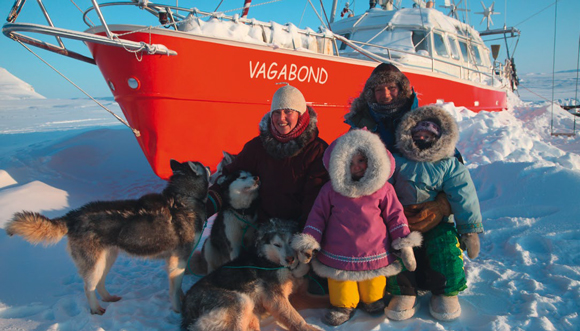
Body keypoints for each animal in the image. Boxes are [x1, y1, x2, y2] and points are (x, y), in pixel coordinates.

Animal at [5, 161, 208, 316]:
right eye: (202, 165)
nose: (208, 165)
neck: (184, 199)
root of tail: (73, 215)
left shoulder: (176, 261)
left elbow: (178, 288)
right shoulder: (178, 260)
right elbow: (174, 290)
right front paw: (178, 309)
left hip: (107, 258)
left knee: (100, 283)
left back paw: (108, 298)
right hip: (94, 264)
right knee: (88, 288)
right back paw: (95, 309)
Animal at [181, 219, 322, 330]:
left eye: (291, 242)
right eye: (277, 245)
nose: (290, 259)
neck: (269, 260)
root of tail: (187, 311)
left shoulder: (300, 295)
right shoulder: (276, 298)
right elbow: (297, 320)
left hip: (250, 317)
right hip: (242, 301)